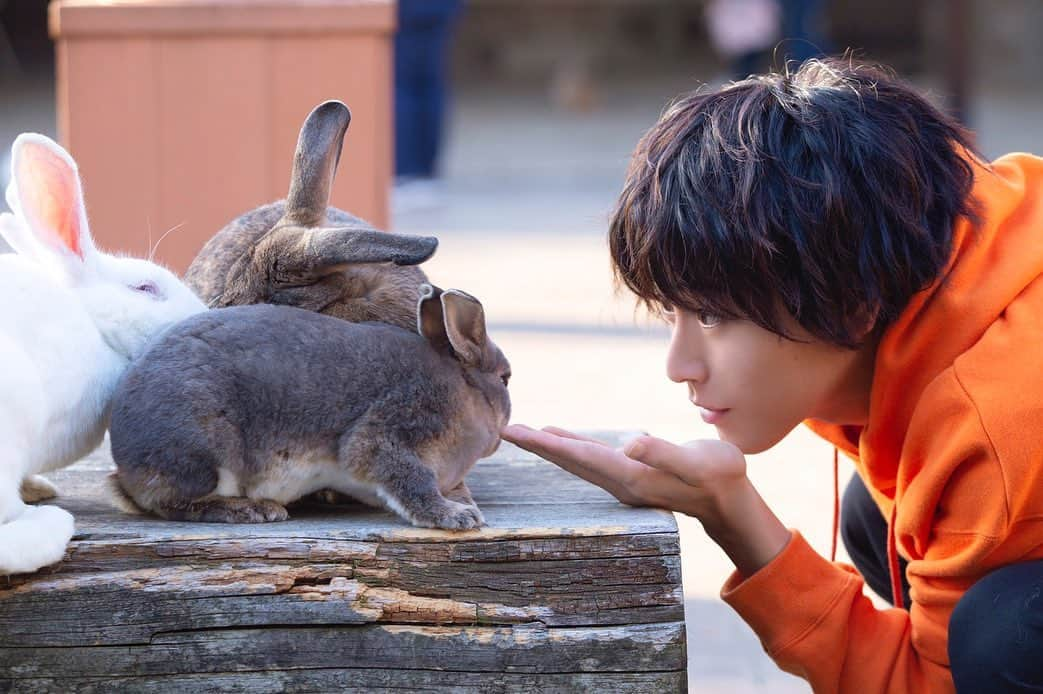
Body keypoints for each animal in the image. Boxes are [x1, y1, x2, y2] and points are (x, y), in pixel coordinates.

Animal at [107, 283, 511, 528]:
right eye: (506, 378)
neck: (463, 391)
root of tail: (125, 464)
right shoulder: (390, 429)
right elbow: (410, 478)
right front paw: (456, 516)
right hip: (205, 452)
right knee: (173, 502)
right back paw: (254, 509)